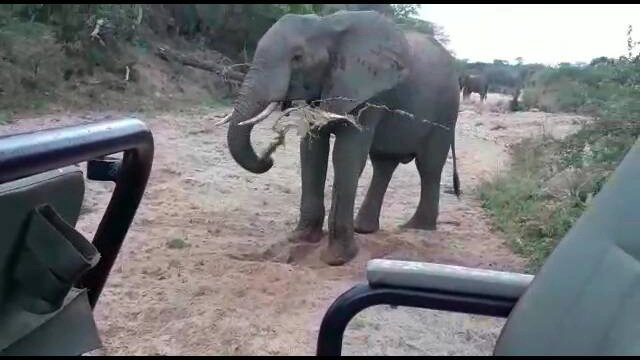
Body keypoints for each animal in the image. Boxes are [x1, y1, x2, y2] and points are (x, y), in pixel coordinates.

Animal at [220, 10, 460, 264]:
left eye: (297, 57)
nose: (269, 158)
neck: (328, 25)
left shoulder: (369, 92)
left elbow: (346, 155)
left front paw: (337, 259)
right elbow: (312, 151)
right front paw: (300, 239)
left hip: (447, 112)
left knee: (429, 167)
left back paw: (416, 228)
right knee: (384, 164)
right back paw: (365, 229)